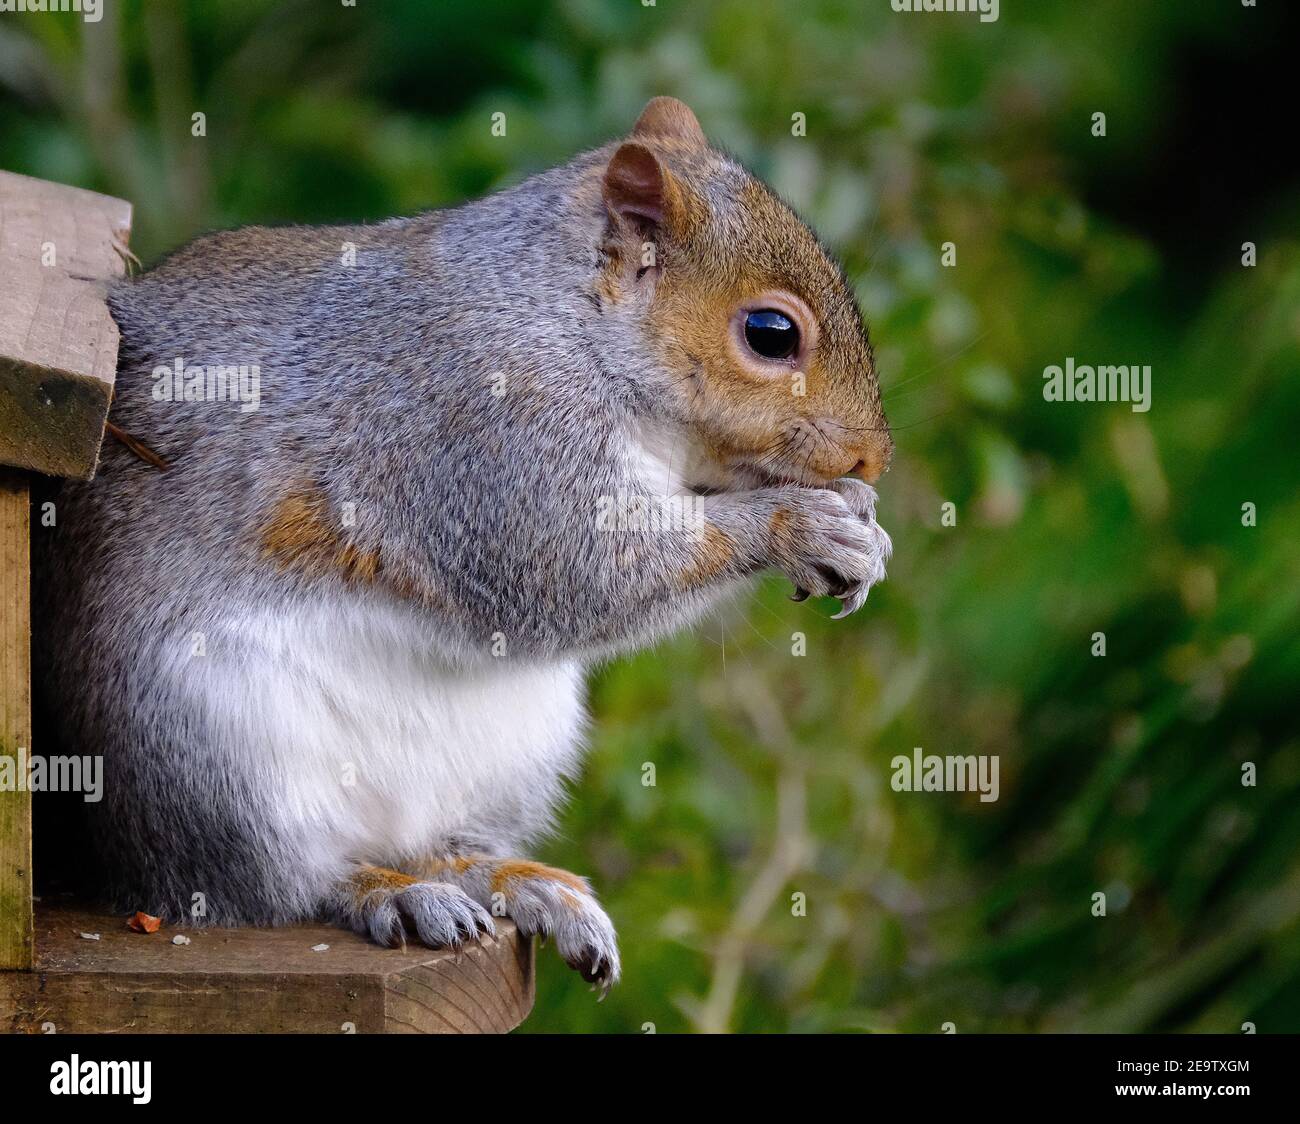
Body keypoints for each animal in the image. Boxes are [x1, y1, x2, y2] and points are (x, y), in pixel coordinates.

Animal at [34, 97, 892, 993]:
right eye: (770, 333)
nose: (873, 460)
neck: (564, 321)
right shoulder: (486, 429)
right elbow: (579, 570)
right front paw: (798, 523)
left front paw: (862, 522)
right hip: (216, 755)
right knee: (276, 885)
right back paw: (388, 891)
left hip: (513, 757)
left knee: (438, 845)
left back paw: (509, 880)